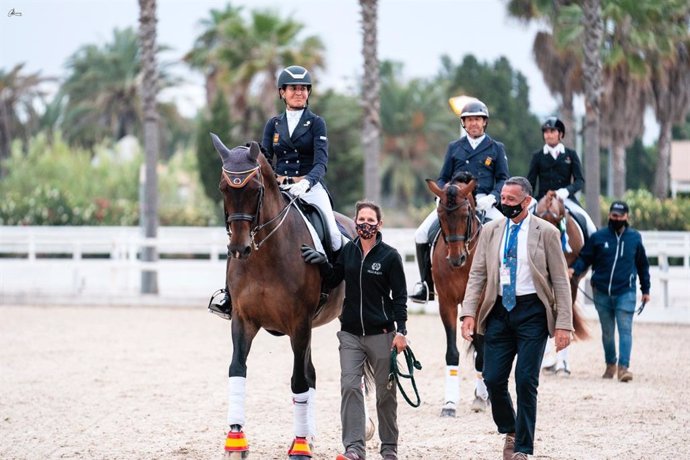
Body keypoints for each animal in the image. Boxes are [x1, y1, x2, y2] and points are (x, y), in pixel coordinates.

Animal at [212, 135, 354, 458]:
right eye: (224, 188)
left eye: (256, 189)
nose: (239, 249)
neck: (266, 254)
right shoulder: (243, 320)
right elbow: (237, 369)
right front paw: (235, 441)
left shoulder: (299, 323)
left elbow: (298, 381)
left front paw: (299, 447)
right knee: (312, 372)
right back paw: (310, 436)